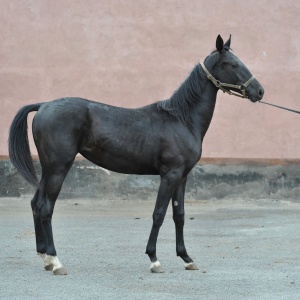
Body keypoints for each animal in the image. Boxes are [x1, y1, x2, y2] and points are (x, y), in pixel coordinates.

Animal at [8, 35, 264, 274]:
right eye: (233, 64)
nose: (259, 91)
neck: (181, 119)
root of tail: (44, 105)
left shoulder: (182, 177)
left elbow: (179, 215)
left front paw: (186, 258)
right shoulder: (170, 175)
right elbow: (159, 214)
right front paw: (154, 259)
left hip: (48, 168)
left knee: (36, 204)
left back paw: (45, 258)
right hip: (58, 168)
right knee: (45, 207)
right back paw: (55, 261)